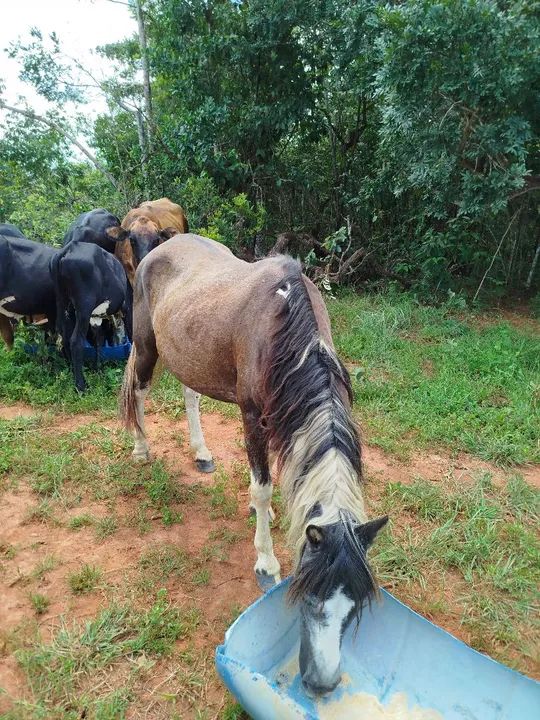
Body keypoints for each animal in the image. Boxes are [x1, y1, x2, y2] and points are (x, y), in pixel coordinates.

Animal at [120, 234, 388, 697]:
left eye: (353, 608)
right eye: (309, 598)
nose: (323, 684)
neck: (283, 323)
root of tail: (159, 245)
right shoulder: (252, 414)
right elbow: (263, 486)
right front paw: (265, 560)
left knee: (190, 395)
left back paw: (202, 453)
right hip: (148, 346)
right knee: (138, 388)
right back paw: (141, 448)